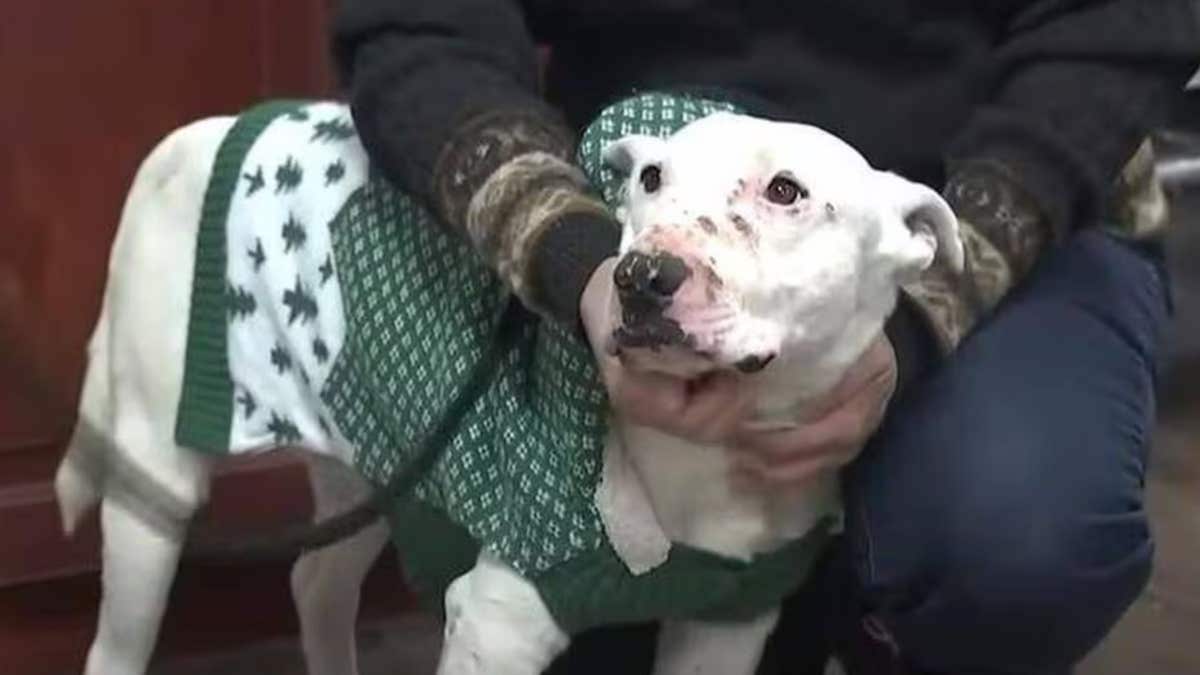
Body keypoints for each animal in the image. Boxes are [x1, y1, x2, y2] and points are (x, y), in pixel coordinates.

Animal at [54, 103, 964, 672]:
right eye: (651, 179)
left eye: (786, 191)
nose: (641, 277)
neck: (715, 456)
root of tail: (204, 133)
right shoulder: (499, 623)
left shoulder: (726, 627)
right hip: (151, 485)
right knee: (117, 639)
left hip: (376, 459)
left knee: (315, 583)